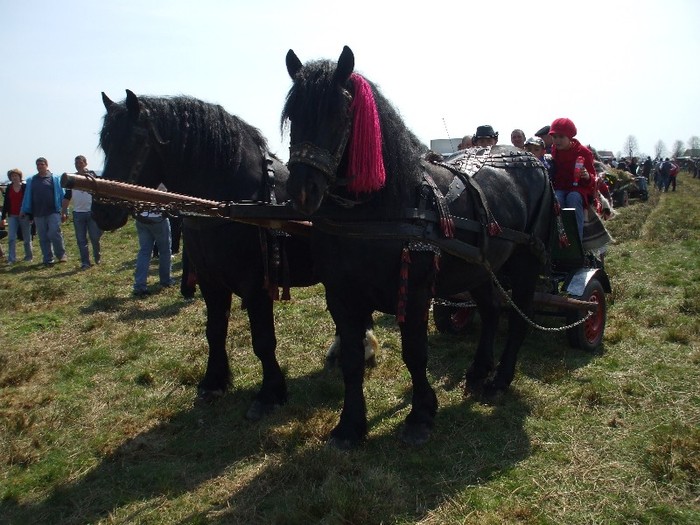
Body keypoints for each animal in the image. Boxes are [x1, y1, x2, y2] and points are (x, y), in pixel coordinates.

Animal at [93, 89, 374, 418]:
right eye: (106, 144)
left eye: (134, 142)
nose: (101, 211)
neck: (230, 204)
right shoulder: (210, 283)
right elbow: (214, 331)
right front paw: (213, 382)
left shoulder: (256, 287)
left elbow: (263, 340)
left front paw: (270, 393)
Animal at [282, 46, 556, 446]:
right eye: (292, 115)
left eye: (340, 112)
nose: (302, 192)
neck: (379, 212)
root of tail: (534, 161)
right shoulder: (341, 296)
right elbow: (351, 359)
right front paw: (350, 426)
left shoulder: (412, 293)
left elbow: (414, 353)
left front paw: (421, 414)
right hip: (479, 266)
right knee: (491, 311)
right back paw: (478, 371)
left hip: (526, 261)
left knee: (519, 318)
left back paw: (499, 380)